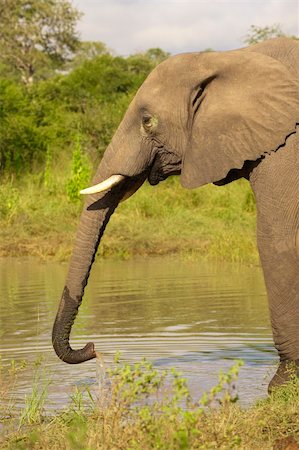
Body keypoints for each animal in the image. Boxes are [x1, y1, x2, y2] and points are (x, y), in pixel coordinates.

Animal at [52, 37, 299, 390]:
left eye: (147, 121)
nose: (92, 347)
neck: (228, 57)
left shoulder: (286, 147)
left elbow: (275, 238)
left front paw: (281, 388)